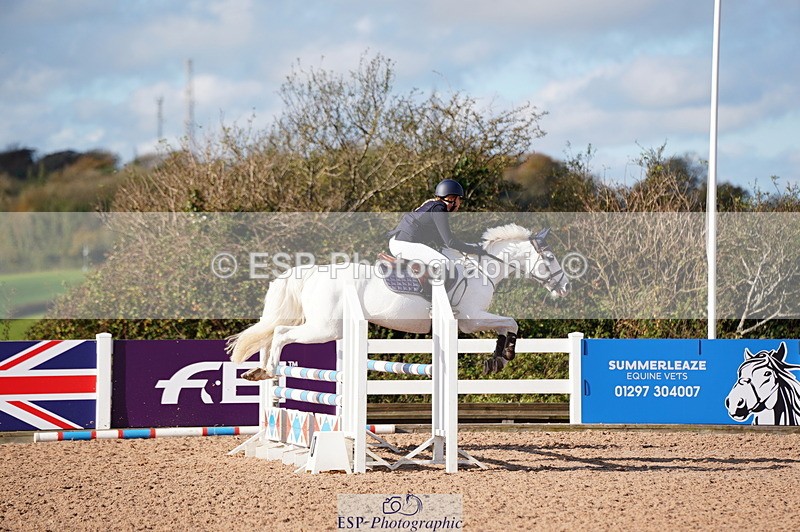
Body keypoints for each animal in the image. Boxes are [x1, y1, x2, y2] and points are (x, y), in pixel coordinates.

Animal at [227, 223, 570, 379]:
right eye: (551, 258)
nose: (565, 287)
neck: (482, 268)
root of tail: (310, 273)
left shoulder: (472, 320)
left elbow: (506, 325)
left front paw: (497, 357)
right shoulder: (471, 318)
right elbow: (511, 322)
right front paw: (504, 355)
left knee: (272, 332)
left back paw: (258, 371)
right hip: (324, 328)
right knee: (281, 333)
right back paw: (269, 370)